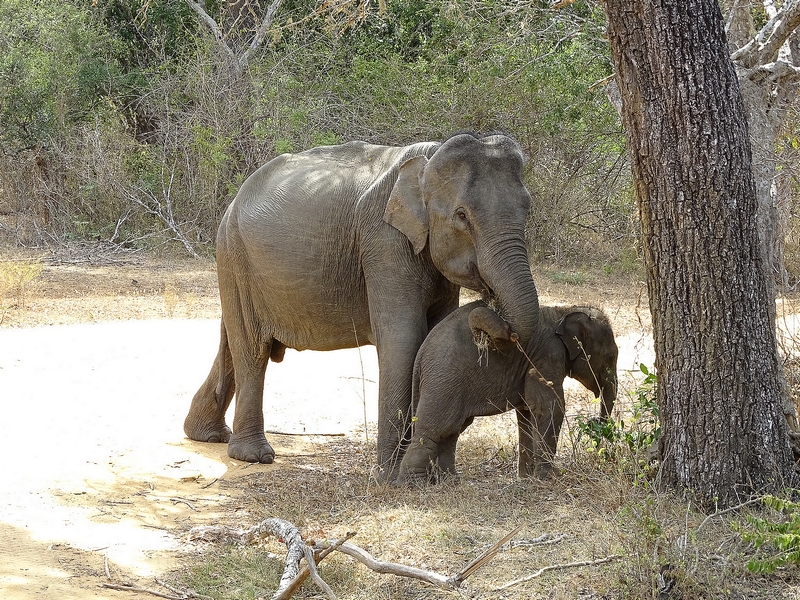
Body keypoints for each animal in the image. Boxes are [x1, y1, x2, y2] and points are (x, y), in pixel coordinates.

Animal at [183, 132, 542, 480]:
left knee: (232, 342)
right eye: (462, 216)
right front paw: (390, 478)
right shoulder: (384, 242)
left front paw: (436, 478)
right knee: (252, 349)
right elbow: (403, 339)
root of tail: (237, 196)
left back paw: (206, 435)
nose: (492, 305)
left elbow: (435, 331)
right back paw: (254, 455)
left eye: (527, 210)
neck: (428, 160)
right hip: (233, 253)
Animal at [396, 300, 618, 484]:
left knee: (452, 430)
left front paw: (527, 477)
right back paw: (414, 484)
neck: (563, 311)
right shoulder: (547, 355)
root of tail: (420, 355)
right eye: (611, 357)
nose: (595, 422)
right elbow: (549, 407)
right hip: (444, 381)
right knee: (436, 428)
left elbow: (528, 412)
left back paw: (450, 480)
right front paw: (550, 477)